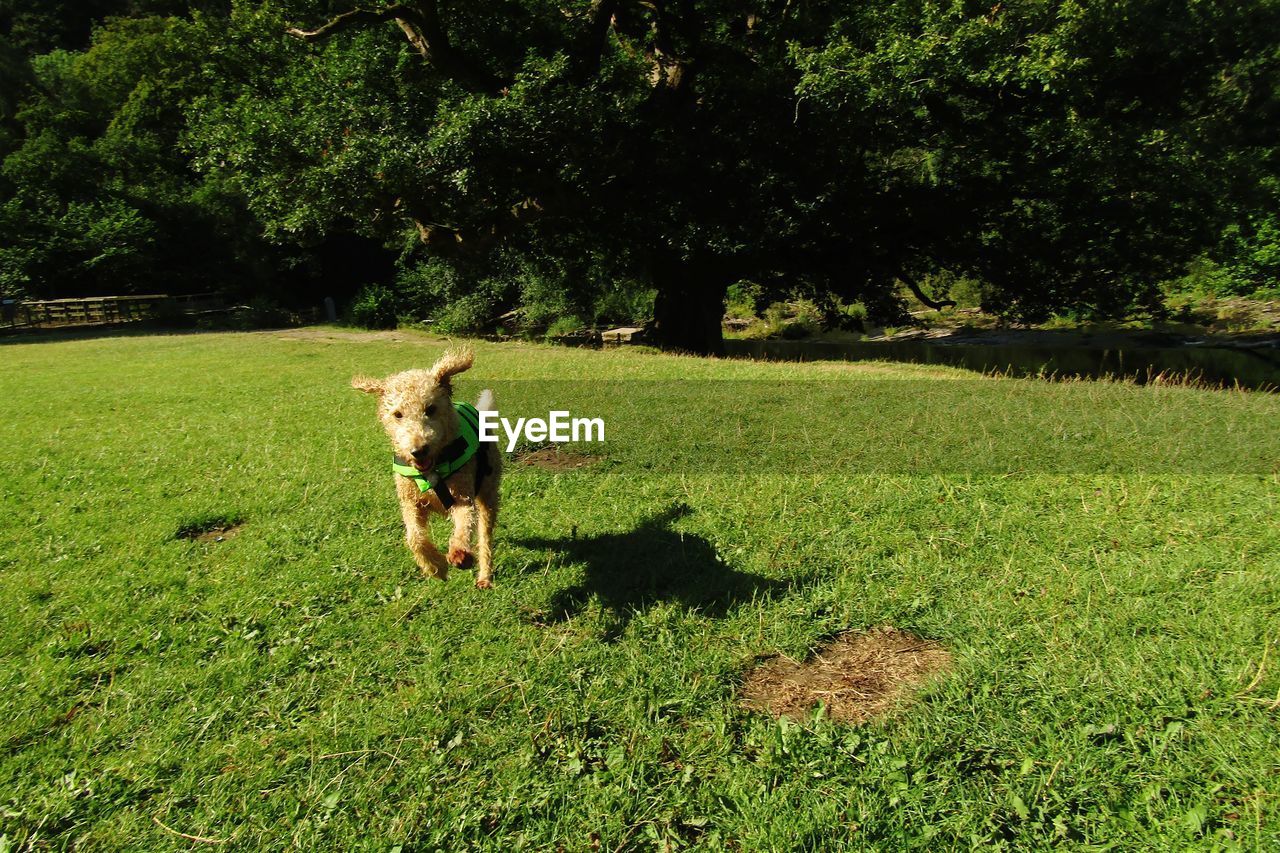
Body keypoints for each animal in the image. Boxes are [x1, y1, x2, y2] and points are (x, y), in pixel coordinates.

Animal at [358, 348, 506, 589]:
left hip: (488, 492)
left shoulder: (462, 496)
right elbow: (414, 537)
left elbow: (464, 524)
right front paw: (436, 567)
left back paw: (484, 576)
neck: (432, 470)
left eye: (430, 408)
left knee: (485, 537)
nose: (418, 450)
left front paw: (459, 554)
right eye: (398, 414)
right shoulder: (410, 502)